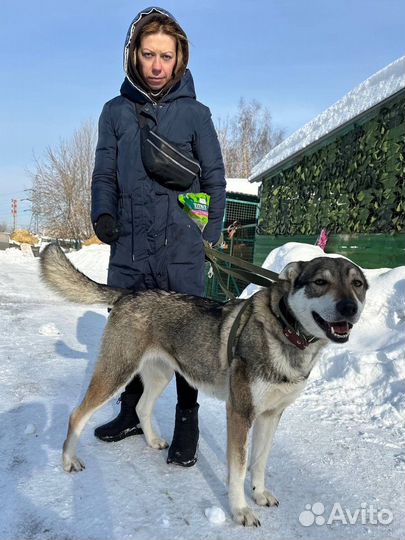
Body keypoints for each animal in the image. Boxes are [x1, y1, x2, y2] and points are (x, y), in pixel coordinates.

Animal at [40, 245, 366, 528]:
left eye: (358, 284)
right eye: (321, 282)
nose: (349, 308)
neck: (286, 333)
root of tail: (131, 293)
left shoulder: (271, 416)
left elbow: (259, 462)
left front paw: (259, 494)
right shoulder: (240, 413)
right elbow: (239, 468)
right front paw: (241, 510)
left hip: (160, 376)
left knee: (143, 406)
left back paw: (153, 441)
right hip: (116, 373)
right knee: (77, 414)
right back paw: (69, 460)